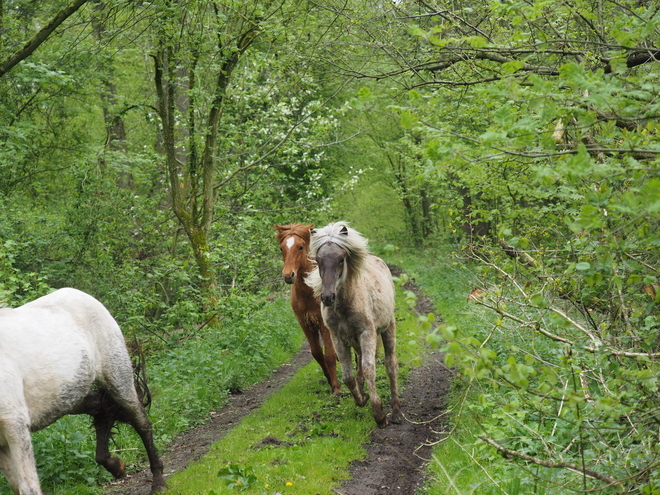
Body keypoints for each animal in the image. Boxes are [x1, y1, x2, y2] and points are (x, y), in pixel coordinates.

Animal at [0, 288, 164, 494]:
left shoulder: (15, 424)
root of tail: (82, 294)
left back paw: (158, 481)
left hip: (118, 379)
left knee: (140, 421)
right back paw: (116, 466)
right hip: (67, 398)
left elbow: (28, 487)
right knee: (101, 409)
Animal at [276, 225, 342, 396]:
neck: (309, 293)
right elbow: (317, 353)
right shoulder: (305, 324)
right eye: (282, 248)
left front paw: (337, 388)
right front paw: (329, 380)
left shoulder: (323, 324)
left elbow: (329, 355)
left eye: (300, 247)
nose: (288, 275)